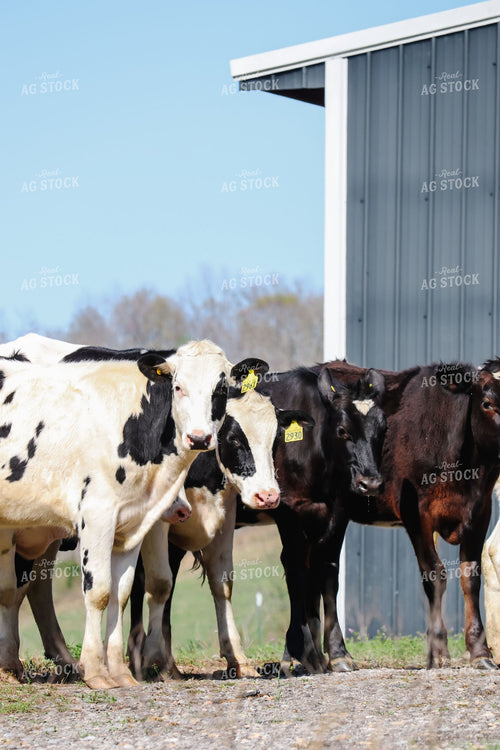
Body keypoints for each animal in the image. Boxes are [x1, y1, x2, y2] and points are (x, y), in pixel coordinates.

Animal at [0, 338, 263, 688]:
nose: (198, 437)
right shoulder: (96, 516)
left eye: (220, 389)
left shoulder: (133, 525)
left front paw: (120, 672)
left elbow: (120, 593)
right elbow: (98, 591)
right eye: (177, 386)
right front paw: (96, 671)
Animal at [127, 385, 314, 681]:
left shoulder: (223, 519)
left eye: (275, 440)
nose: (268, 496)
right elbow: (159, 584)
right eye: (234, 439)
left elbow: (222, 583)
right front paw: (153, 656)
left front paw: (237, 658)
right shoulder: (156, 524)